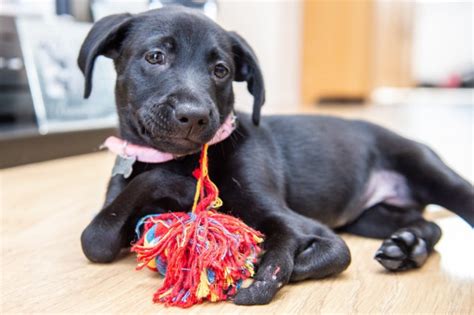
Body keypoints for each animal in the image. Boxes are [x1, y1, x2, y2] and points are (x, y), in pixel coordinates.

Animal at [78, 5, 474, 306]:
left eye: (220, 70)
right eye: (155, 57)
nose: (194, 115)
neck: (183, 158)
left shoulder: (289, 218)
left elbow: (307, 249)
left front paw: (262, 268)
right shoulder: (115, 204)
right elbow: (94, 239)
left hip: (428, 170)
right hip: (369, 218)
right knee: (429, 224)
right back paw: (408, 246)